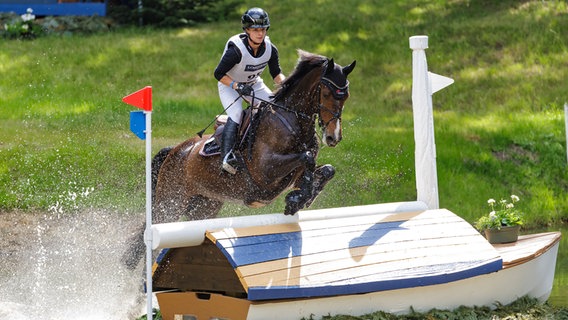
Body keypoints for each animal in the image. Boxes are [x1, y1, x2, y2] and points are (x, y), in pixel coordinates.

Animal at [123, 50, 356, 268]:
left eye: (346, 96)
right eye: (327, 93)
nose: (333, 138)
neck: (292, 122)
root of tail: (176, 150)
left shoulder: (289, 177)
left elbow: (326, 169)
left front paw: (300, 198)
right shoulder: (266, 172)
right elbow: (306, 158)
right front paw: (296, 200)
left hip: (203, 207)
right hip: (171, 202)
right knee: (153, 237)